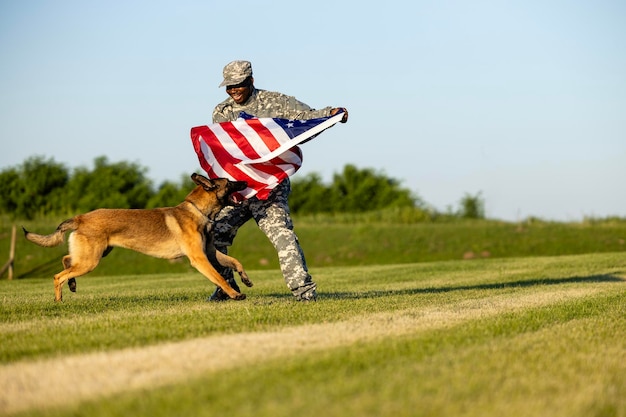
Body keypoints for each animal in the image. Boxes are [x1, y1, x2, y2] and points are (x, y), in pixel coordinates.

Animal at [22, 173, 251, 302]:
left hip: (93, 255)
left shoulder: (210, 253)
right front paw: (234, 295)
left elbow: (234, 262)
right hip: (90, 260)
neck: (198, 211)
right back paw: (59, 301)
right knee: (57, 275)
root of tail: (80, 218)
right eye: (230, 183)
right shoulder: (200, 259)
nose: (245, 181)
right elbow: (219, 276)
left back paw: (72, 285)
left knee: (66, 261)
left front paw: (245, 278)